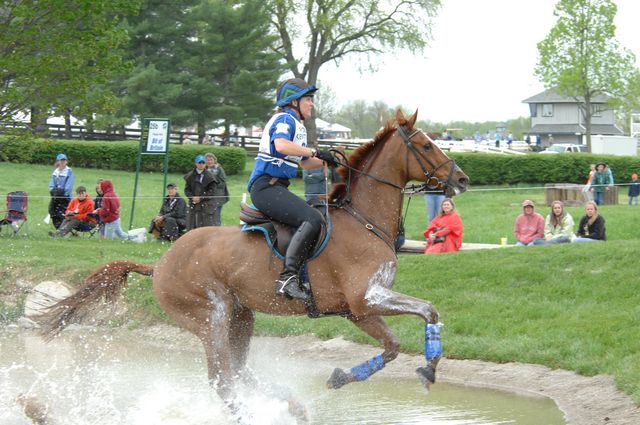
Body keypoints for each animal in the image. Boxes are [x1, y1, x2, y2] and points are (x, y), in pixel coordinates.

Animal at [42, 109, 468, 420]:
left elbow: (397, 343)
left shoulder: (357, 310)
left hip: (240, 314)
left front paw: (358, 375)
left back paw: (292, 406)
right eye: (426, 145)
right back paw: (250, 413)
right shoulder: (367, 298)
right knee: (221, 378)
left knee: (239, 370)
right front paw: (426, 368)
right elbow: (426, 310)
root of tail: (162, 261)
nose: (462, 178)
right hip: (209, 316)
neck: (363, 220)